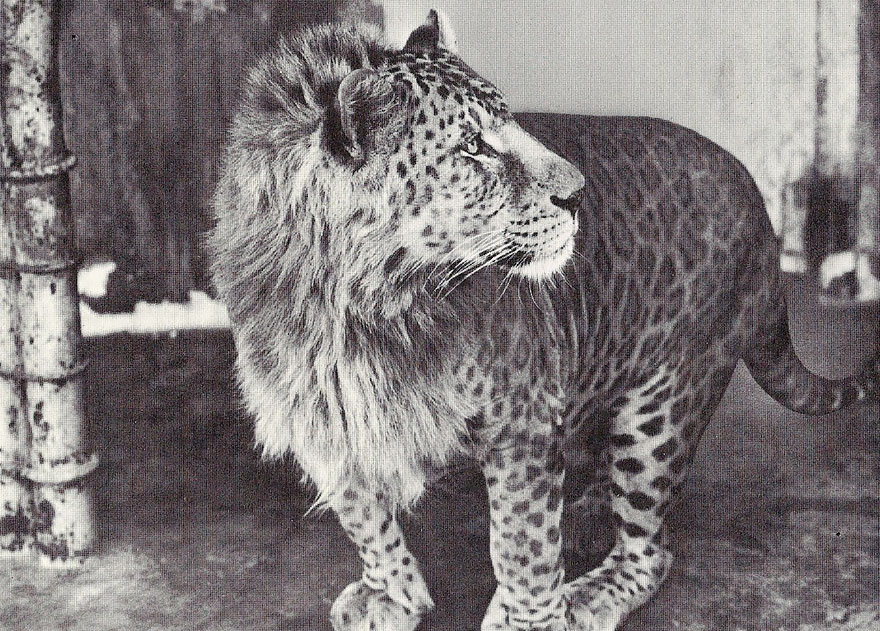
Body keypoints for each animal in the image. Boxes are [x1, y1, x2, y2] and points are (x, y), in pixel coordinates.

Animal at [208, 10, 879, 631]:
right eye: (474, 148)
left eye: (512, 123)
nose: (579, 194)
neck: (365, 308)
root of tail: (762, 210)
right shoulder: (325, 413)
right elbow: (364, 515)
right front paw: (391, 594)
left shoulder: (522, 418)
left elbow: (521, 541)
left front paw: (530, 617)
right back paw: (583, 504)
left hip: (661, 407)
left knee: (650, 549)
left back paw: (587, 592)